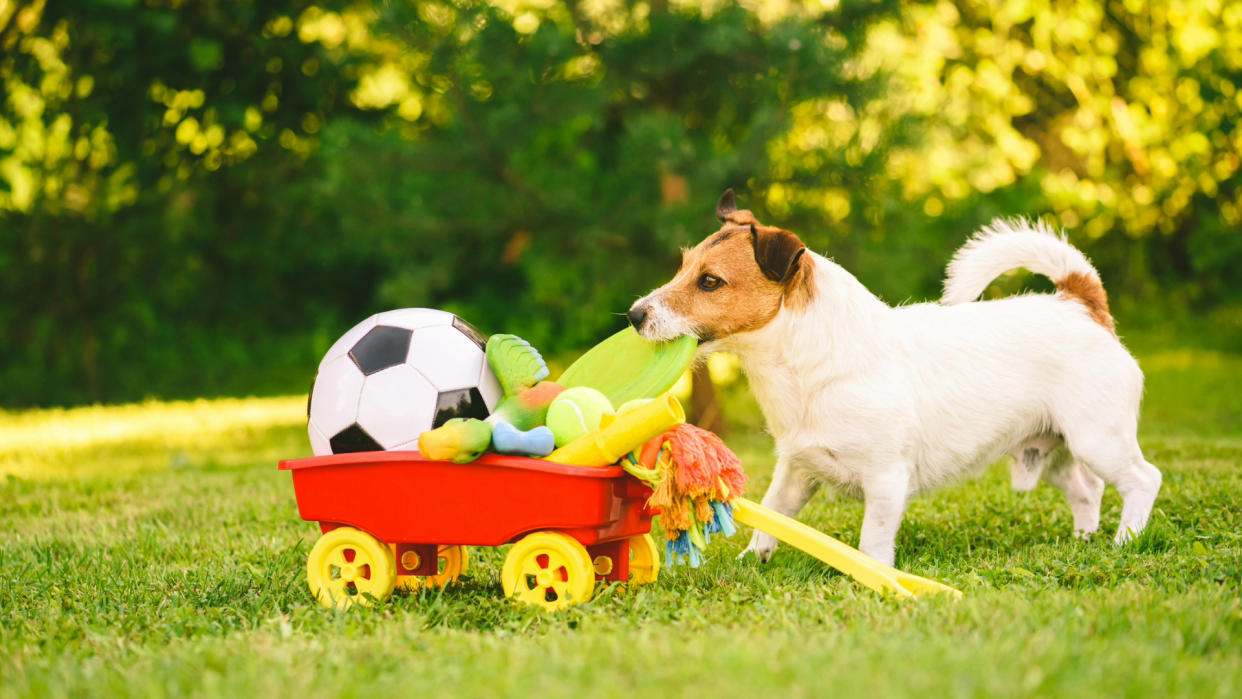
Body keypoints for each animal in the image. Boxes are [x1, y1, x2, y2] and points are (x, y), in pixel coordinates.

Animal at [630, 188, 1162, 566]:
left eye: (710, 282)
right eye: (683, 267)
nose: (635, 315)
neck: (807, 363)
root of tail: (1080, 303)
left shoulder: (886, 479)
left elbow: (873, 540)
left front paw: (875, 576)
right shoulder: (796, 471)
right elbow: (773, 515)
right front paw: (751, 558)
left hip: (1098, 438)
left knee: (1143, 479)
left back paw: (1125, 541)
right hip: (1050, 449)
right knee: (1087, 489)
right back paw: (1083, 539)